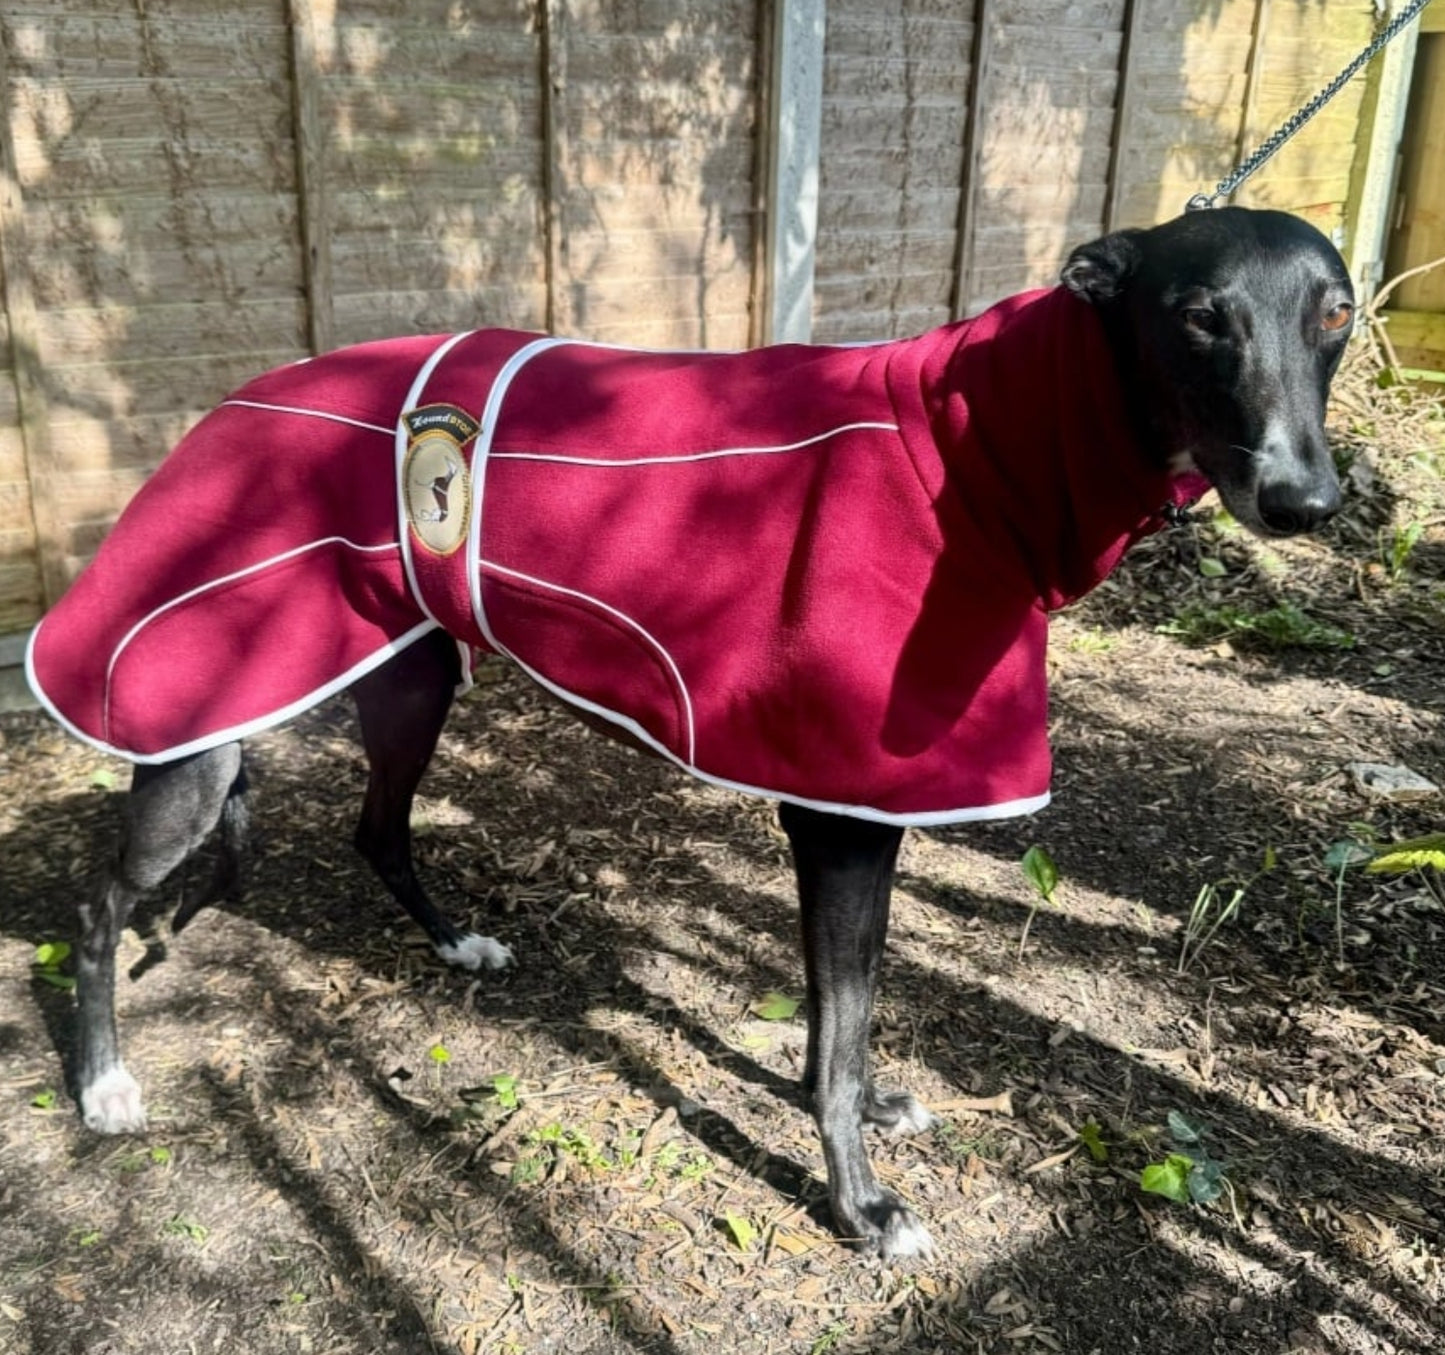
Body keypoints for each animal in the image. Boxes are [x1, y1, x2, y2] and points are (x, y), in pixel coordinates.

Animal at [33, 200, 1346, 1259]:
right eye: (1197, 316)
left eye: (1333, 313)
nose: (1305, 500)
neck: (962, 453)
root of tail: (224, 407)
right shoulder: (840, 819)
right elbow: (843, 1030)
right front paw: (861, 1202)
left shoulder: (857, 812)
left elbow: (839, 1018)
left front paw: (865, 1114)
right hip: (202, 712)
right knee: (95, 908)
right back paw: (103, 1081)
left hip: (407, 678)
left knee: (377, 829)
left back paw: (456, 942)